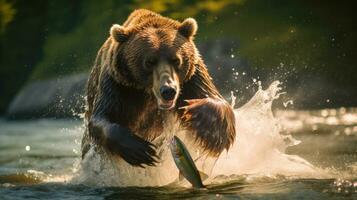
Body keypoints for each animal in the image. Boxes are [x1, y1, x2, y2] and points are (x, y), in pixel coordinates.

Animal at [82, 8, 235, 166]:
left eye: (176, 60)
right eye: (149, 62)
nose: (168, 90)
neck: (147, 94)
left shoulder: (192, 78)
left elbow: (216, 100)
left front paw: (199, 114)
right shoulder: (117, 84)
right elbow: (102, 118)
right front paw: (140, 150)